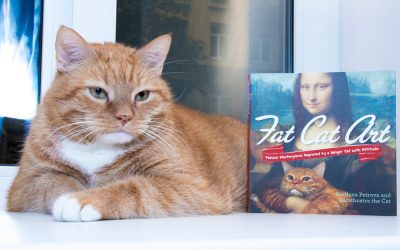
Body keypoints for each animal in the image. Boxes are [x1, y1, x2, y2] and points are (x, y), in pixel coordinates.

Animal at [7, 25, 247, 221]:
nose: (124, 116)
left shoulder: (190, 186)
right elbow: (59, 182)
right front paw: (76, 192)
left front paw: (85, 199)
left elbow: (135, 187)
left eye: (142, 95)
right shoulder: (26, 184)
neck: (96, 148)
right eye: (97, 92)